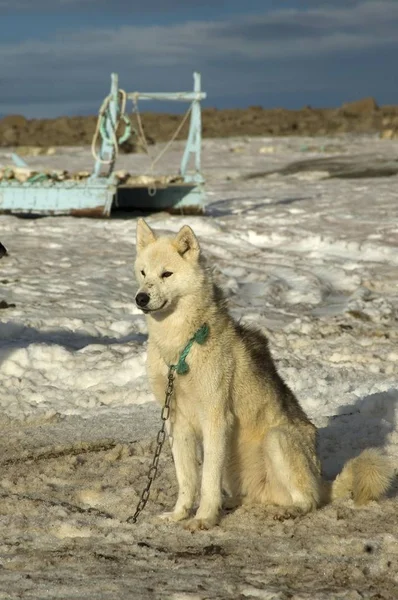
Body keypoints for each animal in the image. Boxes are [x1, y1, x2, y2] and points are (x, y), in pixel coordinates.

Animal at [134, 220, 392, 528]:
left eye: (167, 274)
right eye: (143, 273)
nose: (140, 298)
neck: (180, 348)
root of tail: (322, 482)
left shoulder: (216, 420)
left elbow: (206, 481)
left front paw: (204, 518)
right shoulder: (177, 421)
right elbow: (187, 480)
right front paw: (179, 515)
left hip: (276, 439)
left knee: (309, 501)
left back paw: (290, 510)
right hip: (236, 464)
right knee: (252, 496)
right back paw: (233, 503)